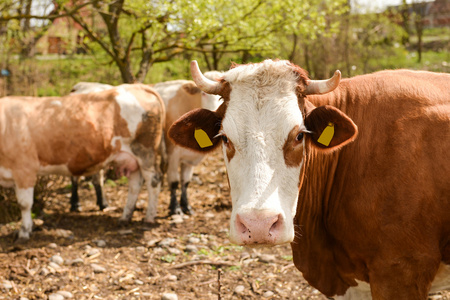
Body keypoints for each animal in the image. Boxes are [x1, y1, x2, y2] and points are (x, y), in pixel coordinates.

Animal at [0, 84, 165, 241]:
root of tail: (136, 86)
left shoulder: (25, 169)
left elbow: (24, 204)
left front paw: (24, 232)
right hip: (131, 158)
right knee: (135, 185)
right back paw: (125, 217)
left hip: (145, 151)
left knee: (154, 181)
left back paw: (149, 218)